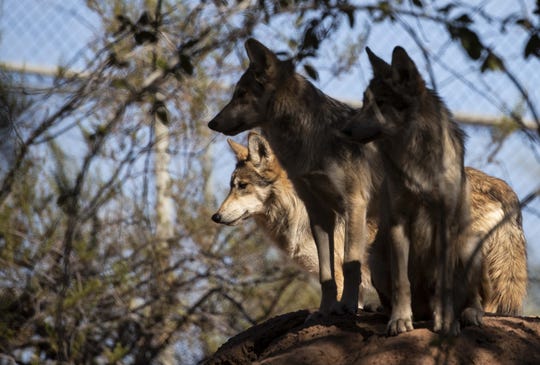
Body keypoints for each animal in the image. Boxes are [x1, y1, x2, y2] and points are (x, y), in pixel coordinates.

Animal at [346, 44, 486, 332]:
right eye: (364, 103)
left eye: (381, 104)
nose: (345, 130)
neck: (414, 158)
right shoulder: (398, 222)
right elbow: (402, 282)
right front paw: (399, 320)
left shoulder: (445, 223)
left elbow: (444, 283)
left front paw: (445, 321)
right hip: (376, 255)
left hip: (470, 245)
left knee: (471, 296)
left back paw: (469, 314)